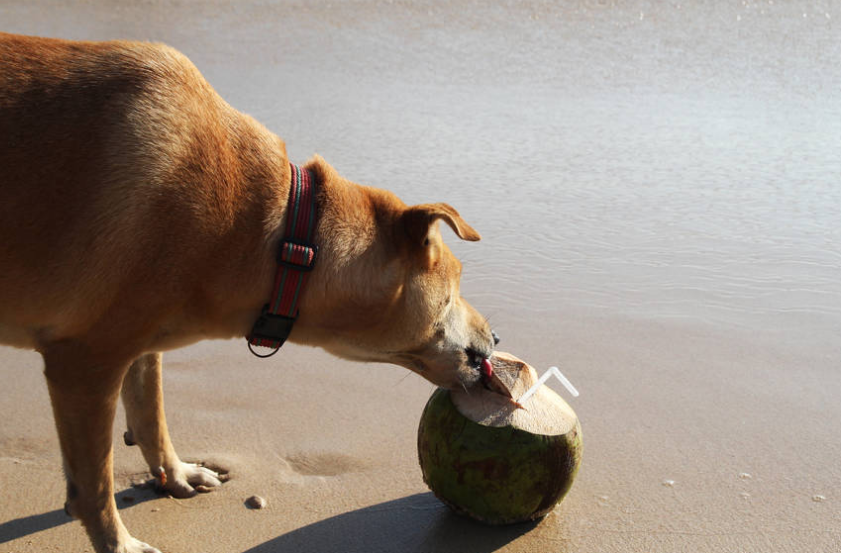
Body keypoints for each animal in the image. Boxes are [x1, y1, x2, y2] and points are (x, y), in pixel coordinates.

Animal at [0, 33, 496, 552]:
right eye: (454, 289)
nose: (496, 340)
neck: (284, 240)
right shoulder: (84, 360)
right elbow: (94, 484)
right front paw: (119, 544)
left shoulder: (136, 341)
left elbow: (150, 412)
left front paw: (174, 473)